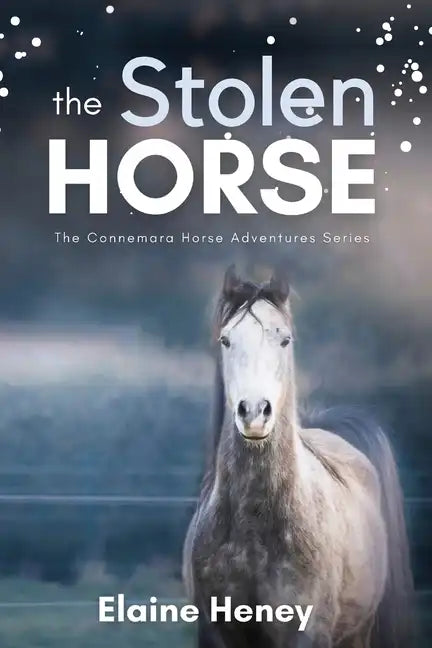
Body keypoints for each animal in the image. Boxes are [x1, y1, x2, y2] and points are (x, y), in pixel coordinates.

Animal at [183, 266, 414, 648]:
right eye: (226, 340)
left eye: (285, 339)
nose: (254, 413)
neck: (255, 528)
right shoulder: (215, 633)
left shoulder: (307, 633)